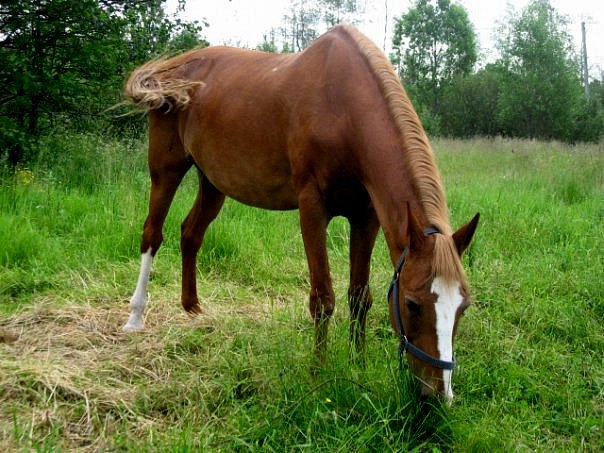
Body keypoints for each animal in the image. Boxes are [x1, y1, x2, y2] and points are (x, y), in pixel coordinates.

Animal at [124, 24, 482, 400]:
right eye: (412, 303)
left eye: (464, 306)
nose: (436, 395)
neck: (344, 107)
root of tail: (176, 67)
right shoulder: (312, 208)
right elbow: (323, 298)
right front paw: (319, 373)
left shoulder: (365, 216)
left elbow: (359, 296)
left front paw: (358, 365)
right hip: (166, 170)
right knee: (152, 234)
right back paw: (135, 317)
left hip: (213, 182)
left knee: (190, 233)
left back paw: (193, 309)